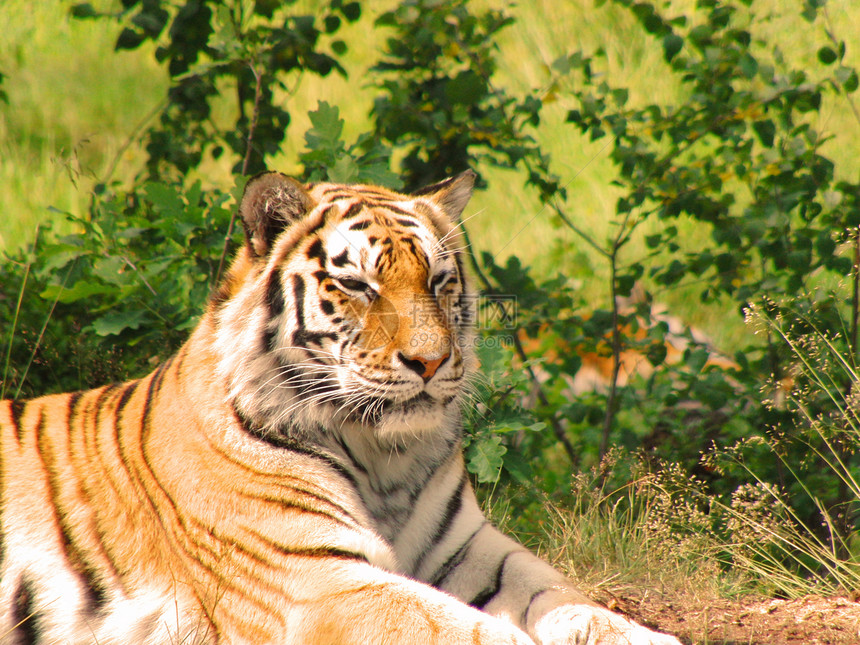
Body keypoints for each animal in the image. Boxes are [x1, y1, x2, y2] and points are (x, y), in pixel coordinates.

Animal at [1, 171, 684, 644]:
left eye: (440, 281)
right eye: (357, 285)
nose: (431, 362)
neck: (385, 458)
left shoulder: (471, 551)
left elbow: (572, 601)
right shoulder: (319, 579)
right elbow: (472, 631)